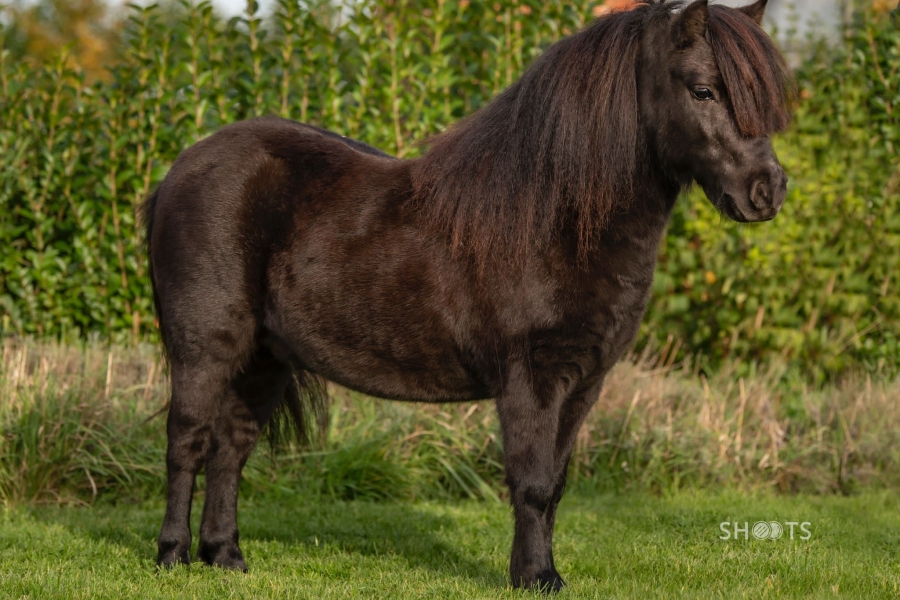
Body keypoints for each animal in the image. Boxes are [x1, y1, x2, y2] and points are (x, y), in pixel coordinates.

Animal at [146, 0, 796, 592]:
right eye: (703, 90)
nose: (767, 190)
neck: (552, 220)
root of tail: (180, 169)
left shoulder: (584, 383)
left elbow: (555, 486)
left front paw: (537, 572)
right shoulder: (531, 379)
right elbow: (531, 483)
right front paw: (536, 577)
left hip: (263, 357)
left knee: (231, 447)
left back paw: (226, 557)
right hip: (205, 349)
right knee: (186, 441)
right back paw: (173, 556)